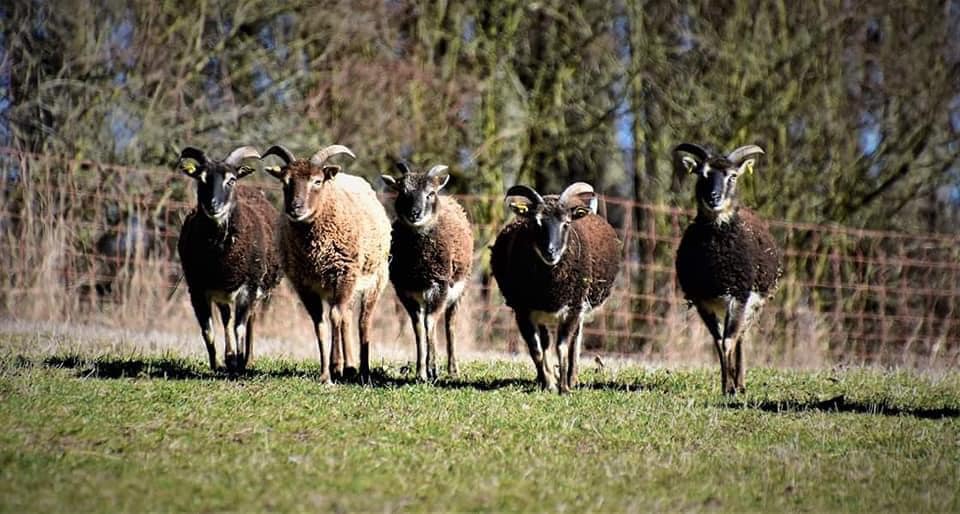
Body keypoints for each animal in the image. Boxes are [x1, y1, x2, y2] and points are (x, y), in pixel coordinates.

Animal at [176, 145, 282, 373]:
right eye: (201, 179)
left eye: (231, 180)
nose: (213, 206)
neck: (220, 259)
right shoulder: (198, 289)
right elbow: (208, 331)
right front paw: (216, 364)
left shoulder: (248, 288)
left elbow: (239, 327)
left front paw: (240, 365)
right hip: (221, 293)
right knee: (226, 317)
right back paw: (230, 356)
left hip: (254, 289)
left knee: (248, 319)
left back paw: (246, 359)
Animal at [261, 144, 391, 384]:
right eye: (285, 182)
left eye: (317, 181)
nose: (295, 208)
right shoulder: (304, 284)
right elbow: (320, 324)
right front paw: (325, 374)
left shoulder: (344, 273)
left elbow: (334, 317)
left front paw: (334, 371)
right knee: (345, 316)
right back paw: (345, 366)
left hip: (374, 278)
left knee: (362, 321)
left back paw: (362, 370)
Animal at [381, 161, 474, 381]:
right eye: (402, 191)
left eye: (430, 193)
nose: (415, 213)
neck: (419, 267)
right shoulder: (406, 291)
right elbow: (417, 327)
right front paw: (420, 372)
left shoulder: (439, 286)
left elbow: (430, 323)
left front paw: (433, 369)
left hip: (459, 290)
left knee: (450, 324)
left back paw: (453, 369)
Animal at [491, 182, 621, 393]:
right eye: (536, 223)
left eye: (566, 223)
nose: (550, 252)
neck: (550, 288)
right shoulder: (523, 311)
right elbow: (536, 349)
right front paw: (550, 384)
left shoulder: (573, 309)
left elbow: (562, 346)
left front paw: (565, 388)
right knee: (545, 343)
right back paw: (545, 378)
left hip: (579, 308)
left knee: (574, 340)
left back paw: (571, 378)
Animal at [674, 142, 783, 395]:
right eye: (702, 174)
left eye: (732, 176)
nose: (713, 197)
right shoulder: (702, 300)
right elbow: (717, 341)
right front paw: (725, 386)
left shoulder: (739, 296)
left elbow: (729, 340)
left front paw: (732, 388)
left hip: (754, 303)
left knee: (740, 335)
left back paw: (741, 383)